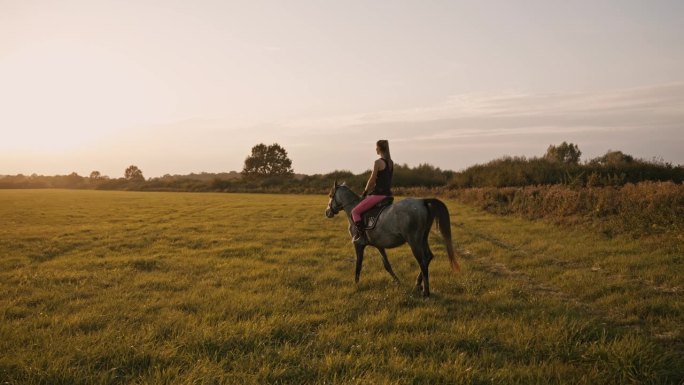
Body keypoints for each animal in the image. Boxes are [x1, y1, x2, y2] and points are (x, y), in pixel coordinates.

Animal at [324, 180, 460, 296]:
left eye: (331, 195)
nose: (327, 212)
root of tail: (422, 202)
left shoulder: (358, 245)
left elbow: (358, 264)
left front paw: (356, 284)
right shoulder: (379, 245)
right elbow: (387, 265)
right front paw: (398, 281)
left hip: (414, 241)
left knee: (422, 261)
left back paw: (425, 291)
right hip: (423, 238)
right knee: (428, 257)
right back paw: (418, 284)